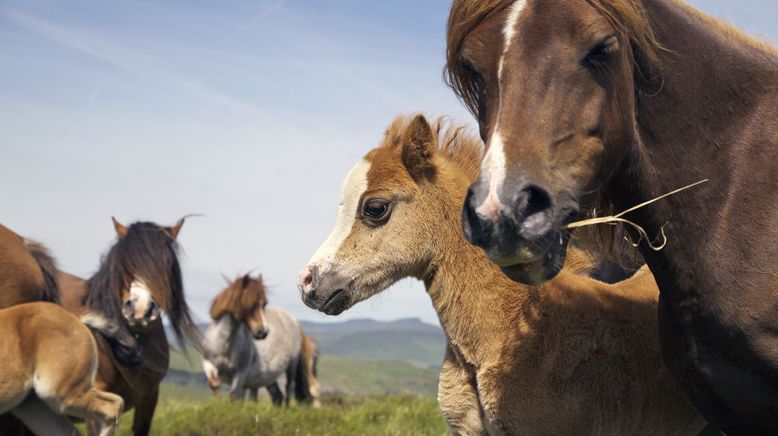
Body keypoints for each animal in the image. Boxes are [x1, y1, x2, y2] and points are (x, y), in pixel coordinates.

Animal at [203, 274, 322, 408]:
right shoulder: (209, 364)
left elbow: (234, 395)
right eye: (248, 303)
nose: (263, 332)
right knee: (278, 396)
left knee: (289, 388)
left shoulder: (241, 372)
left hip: (292, 366)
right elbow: (215, 385)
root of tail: (295, 322)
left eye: (264, 304)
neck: (225, 344)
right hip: (270, 375)